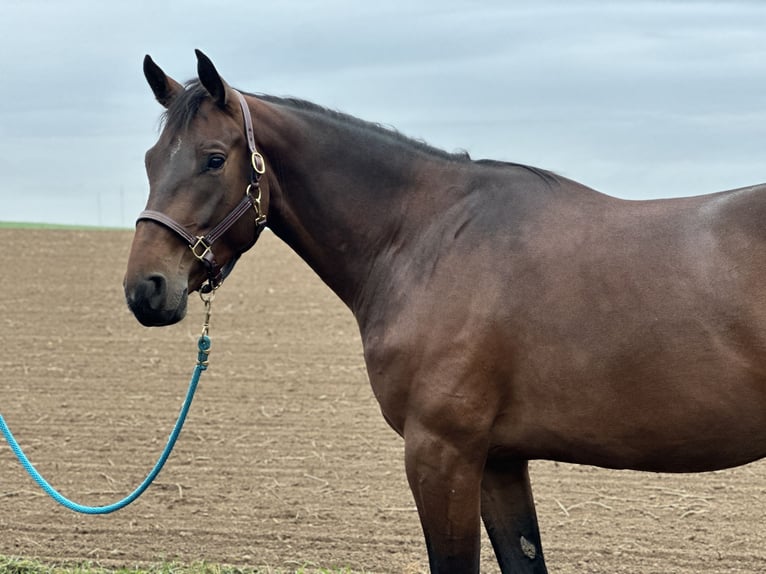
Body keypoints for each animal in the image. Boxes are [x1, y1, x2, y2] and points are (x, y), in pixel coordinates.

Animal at [124, 51, 766, 572]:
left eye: (213, 159)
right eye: (151, 159)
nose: (146, 288)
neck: (426, 236)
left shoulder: (441, 454)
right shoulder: (499, 461)